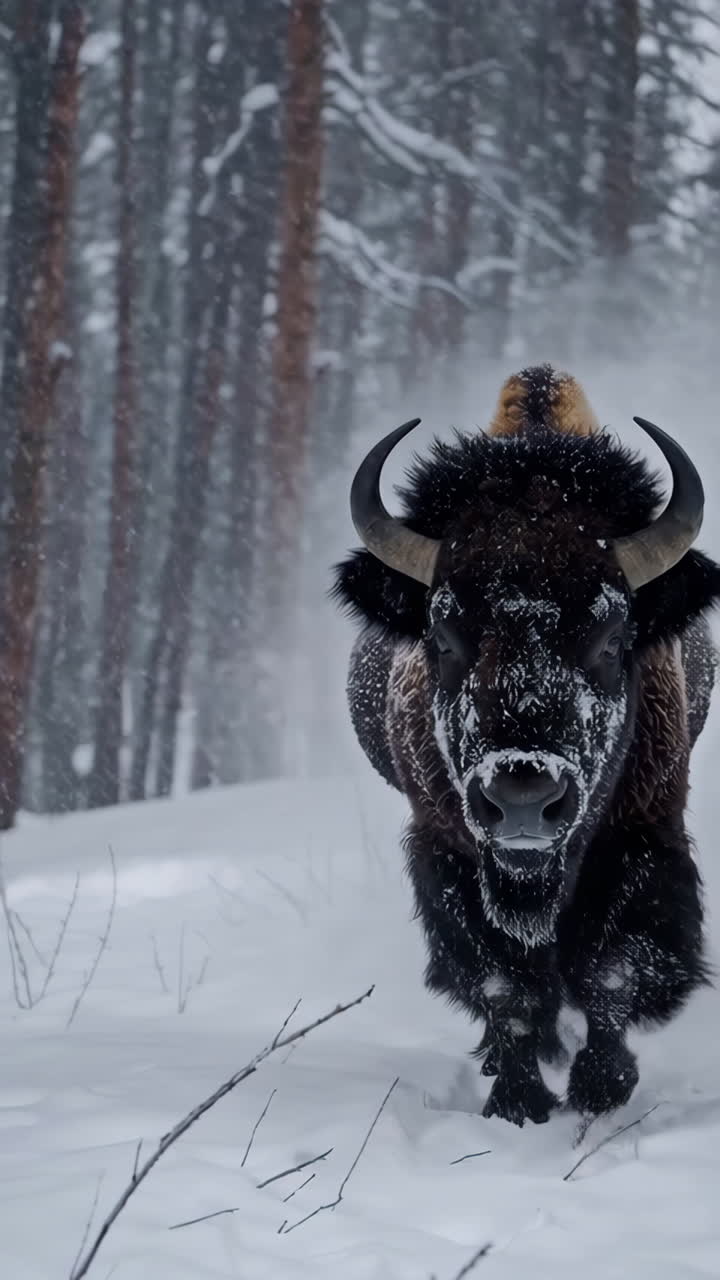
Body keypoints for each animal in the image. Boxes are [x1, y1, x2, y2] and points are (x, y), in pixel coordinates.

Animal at [334, 365, 720, 1126]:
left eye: (612, 637)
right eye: (443, 635)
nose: (522, 794)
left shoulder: (645, 834)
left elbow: (613, 969)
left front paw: (601, 1088)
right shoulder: (447, 851)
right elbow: (501, 984)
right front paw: (517, 1101)